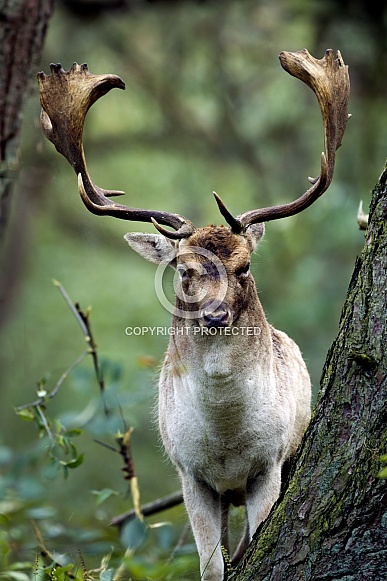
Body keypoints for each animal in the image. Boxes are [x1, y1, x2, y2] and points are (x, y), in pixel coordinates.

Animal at [38, 49, 350, 580]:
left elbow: (249, 548)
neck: (226, 441)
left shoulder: (269, 464)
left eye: (245, 266)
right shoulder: (190, 473)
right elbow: (211, 566)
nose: (217, 316)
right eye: (183, 269)